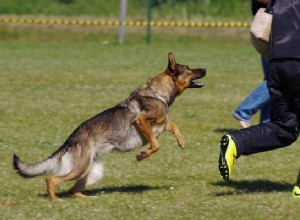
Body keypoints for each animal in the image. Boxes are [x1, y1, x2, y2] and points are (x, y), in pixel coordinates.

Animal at [12, 52, 206, 201]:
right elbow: (156, 145)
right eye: (189, 68)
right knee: (51, 180)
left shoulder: (160, 125)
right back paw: (55, 201)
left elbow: (172, 125)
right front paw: (142, 155)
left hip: (91, 172)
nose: (205, 69)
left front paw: (181, 141)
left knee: (72, 191)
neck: (158, 93)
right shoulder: (142, 121)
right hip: (79, 169)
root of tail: (70, 140)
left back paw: (89, 199)